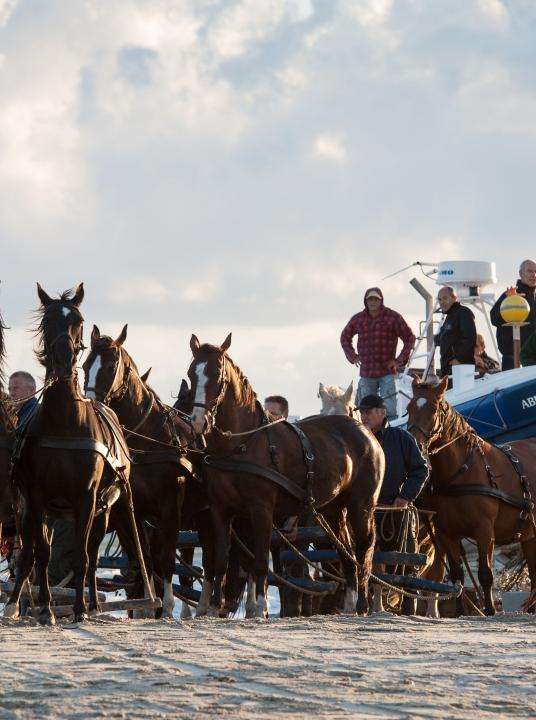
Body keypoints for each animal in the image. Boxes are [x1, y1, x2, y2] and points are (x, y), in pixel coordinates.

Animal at [5, 284, 132, 620]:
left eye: (78, 320)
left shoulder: (86, 498)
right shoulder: (36, 496)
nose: (63, 358)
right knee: (32, 552)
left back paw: (94, 603)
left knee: (92, 553)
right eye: (47, 321)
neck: (64, 422)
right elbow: (42, 554)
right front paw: (46, 608)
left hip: (104, 509)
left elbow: (82, 557)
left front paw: (79, 608)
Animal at [85, 326, 198, 620]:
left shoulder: (170, 508)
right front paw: (146, 606)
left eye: (110, 366)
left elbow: (166, 559)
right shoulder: (131, 512)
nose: (91, 403)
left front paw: (165, 606)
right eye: (86, 364)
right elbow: (143, 559)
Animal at [186, 334, 384, 616]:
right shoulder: (220, 510)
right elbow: (221, 560)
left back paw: (363, 604)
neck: (240, 444)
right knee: (346, 552)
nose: (198, 422)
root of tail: (365, 432)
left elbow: (259, 561)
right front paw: (214, 607)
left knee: (364, 549)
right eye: (192, 374)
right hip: (333, 509)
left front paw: (259, 607)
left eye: (217, 374)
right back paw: (349, 604)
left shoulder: (261, 510)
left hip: (362, 505)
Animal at [406, 374, 536, 616]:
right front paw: (460, 611)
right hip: (529, 533)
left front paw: (489, 610)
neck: (461, 471)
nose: (415, 444)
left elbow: (485, 574)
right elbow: (457, 574)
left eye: (433, 408)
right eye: (409, 407)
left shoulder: (484, 531)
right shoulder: (446, 533)